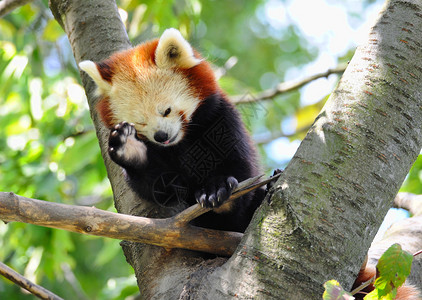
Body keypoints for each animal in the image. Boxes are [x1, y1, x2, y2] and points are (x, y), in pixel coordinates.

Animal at [79, 28, 264, 232]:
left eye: (166, 111)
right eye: (141, 122)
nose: (161, 136)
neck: (182, 142)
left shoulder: (221, 121)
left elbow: (241, 170)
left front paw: (217, 190)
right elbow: (159, 189)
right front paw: (130, 150)